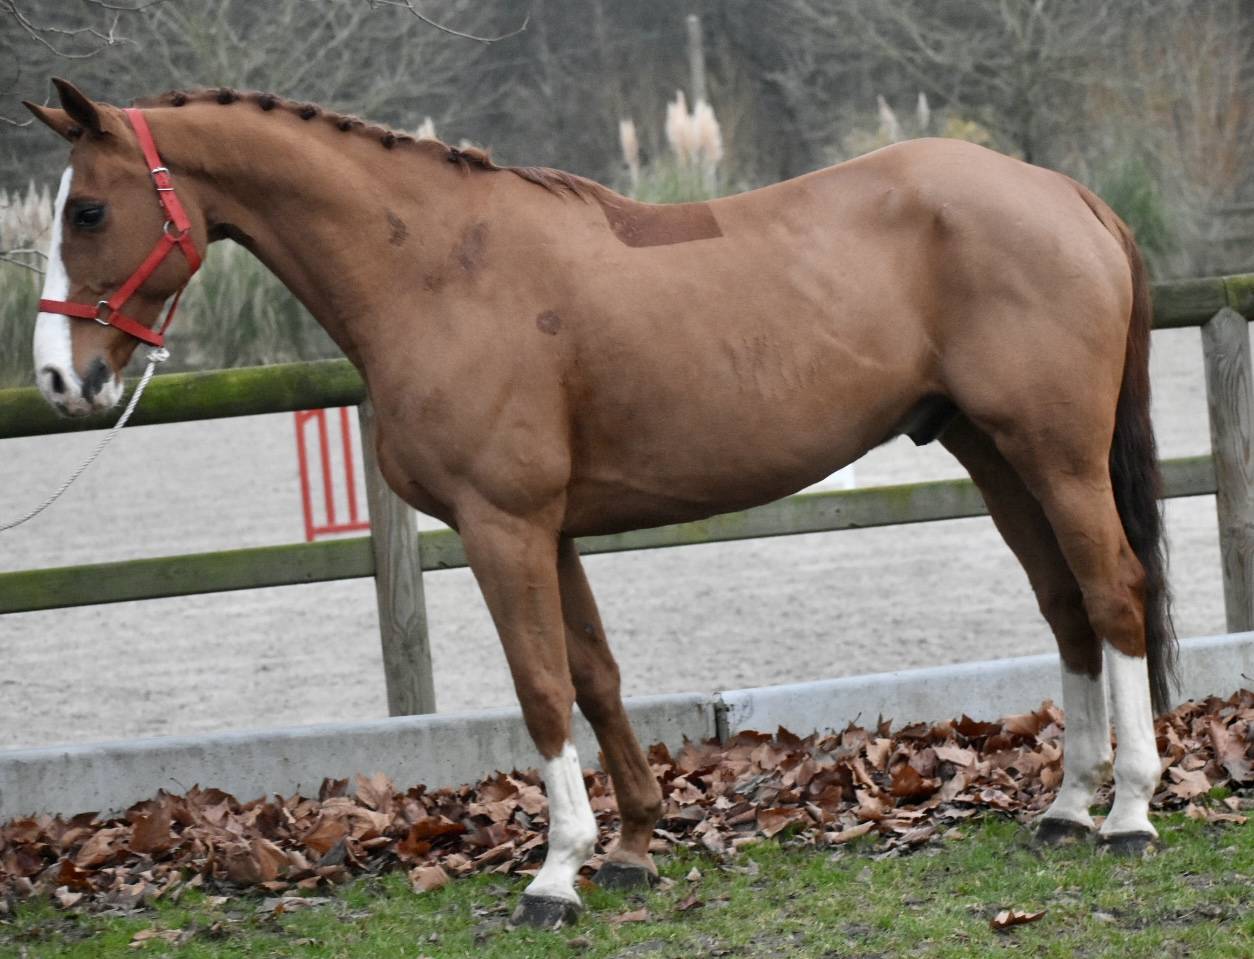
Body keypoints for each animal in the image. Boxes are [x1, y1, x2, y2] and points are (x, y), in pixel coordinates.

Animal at [22, 79, 1176, 927]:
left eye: (88, 209)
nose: (60, 380)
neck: (439, 270)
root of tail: (1070, 196)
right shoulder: (556, 531)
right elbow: (597, 676)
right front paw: (631, 846)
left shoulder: (502, 526)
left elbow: (539, 689)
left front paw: (555, 873)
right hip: (996, 456)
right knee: (1067, 606)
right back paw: (1068, 806)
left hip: (1056, 455)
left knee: (1114, 593)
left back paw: (1129, 810)